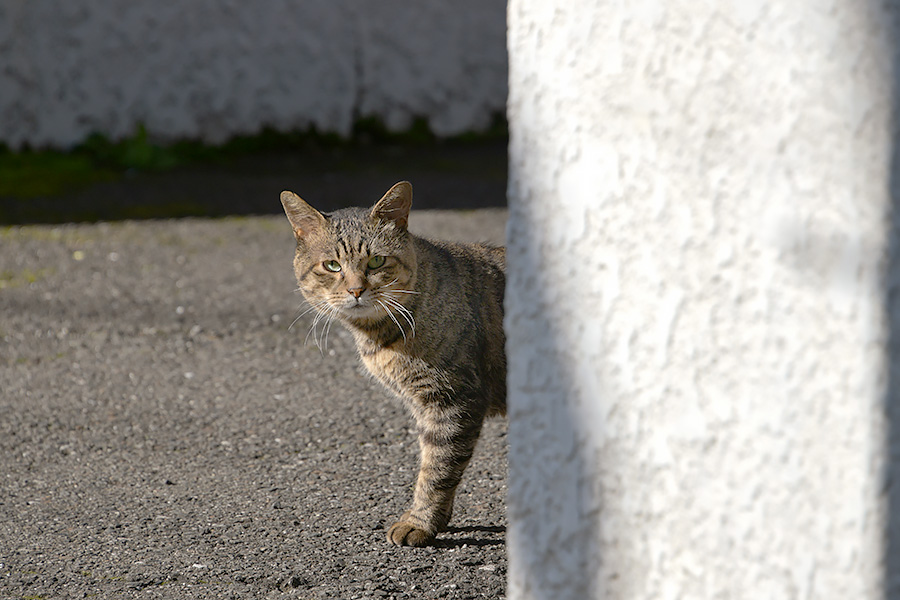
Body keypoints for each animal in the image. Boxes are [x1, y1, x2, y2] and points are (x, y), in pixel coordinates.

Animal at [282, 180, 506, 548]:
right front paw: (438, 518)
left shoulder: (454, 400)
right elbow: (434, 462)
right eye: (332, 266)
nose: (356, 290)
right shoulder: (425, 404)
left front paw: (421, 521)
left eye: (376, 261)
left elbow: (438, 469)